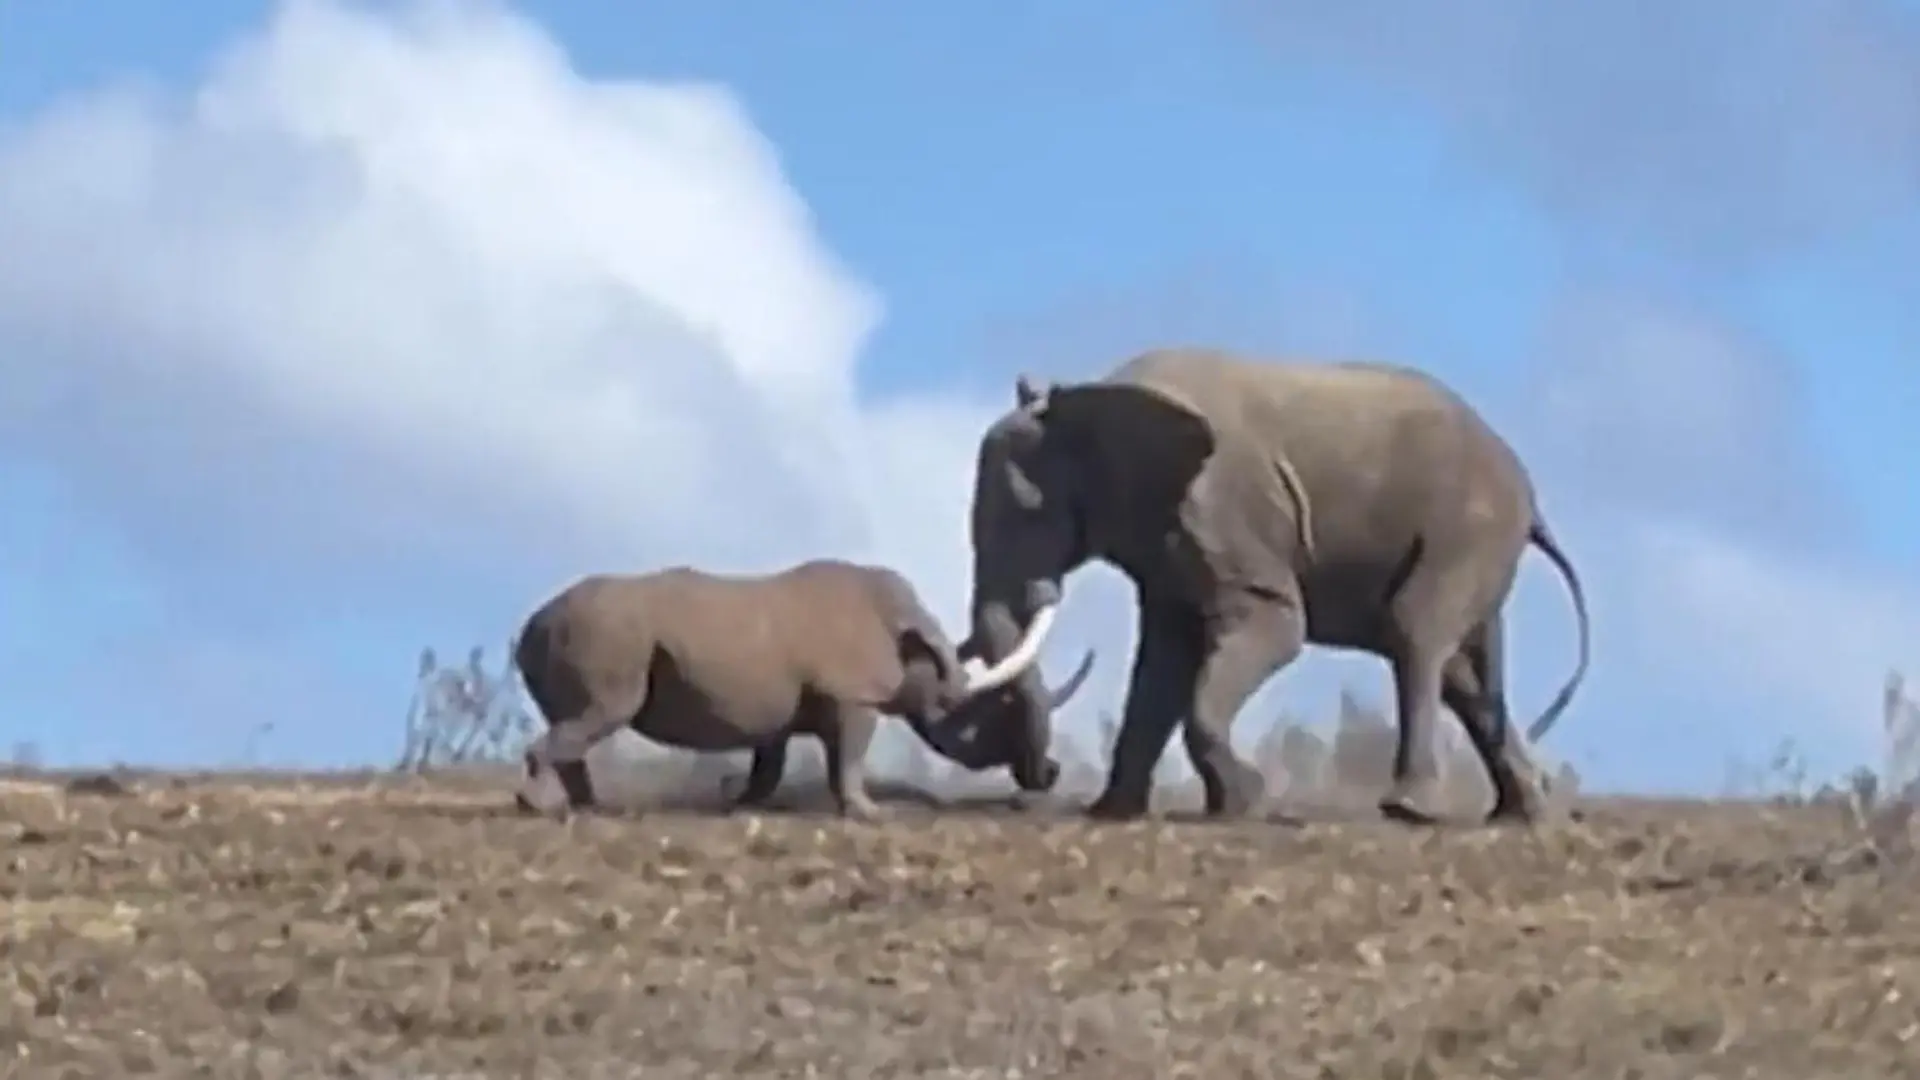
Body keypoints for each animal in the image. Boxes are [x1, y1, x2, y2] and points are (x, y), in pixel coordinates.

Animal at [512, 558, 1095, 820]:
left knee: (580, 720)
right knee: (605, 711)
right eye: (957, 712)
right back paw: (540, 806)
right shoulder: (854, 693)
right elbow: (850, 755)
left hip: (583, 633)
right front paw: (870, 814)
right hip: (605, 635)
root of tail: (528, 627)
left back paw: (587, 808)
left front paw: (739, 804)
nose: (1048, 774)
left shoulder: (778, 711)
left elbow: (768, 766)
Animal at [957, 347, 1591, 825]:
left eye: (1028, 513)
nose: (1045, 778)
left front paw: (1244, 803)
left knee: (1416, 632)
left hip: (1468, 529)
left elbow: (1275, 625)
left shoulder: (1223, 508)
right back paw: (1523, 813)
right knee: (1464, 670)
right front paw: (1113, 813)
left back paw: (1409, 808)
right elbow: (1163, 658)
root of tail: (1528, 491)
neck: (1095, 397)